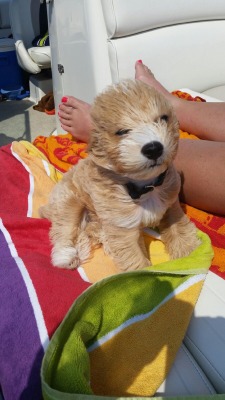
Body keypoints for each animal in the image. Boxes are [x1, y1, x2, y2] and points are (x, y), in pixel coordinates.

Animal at [40, 79, 200, 270]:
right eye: (122, 132)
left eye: (162, 119)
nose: (153, 148)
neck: (146, 185)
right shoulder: (123, 228)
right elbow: (136, 261)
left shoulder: (171, 205)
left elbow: (178, 229)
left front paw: (189, 254)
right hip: (69, 201)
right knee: (63, 229)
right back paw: (65, 256)